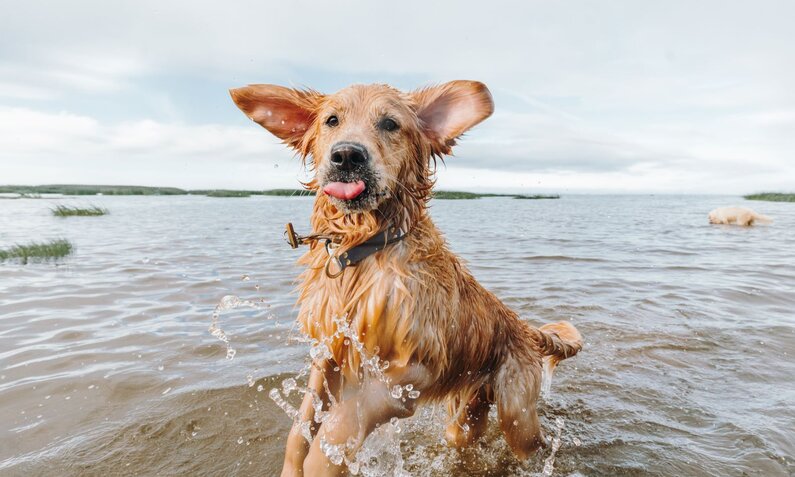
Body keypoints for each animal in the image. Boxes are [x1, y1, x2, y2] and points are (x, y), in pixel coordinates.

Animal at [230, 80, 584, 474]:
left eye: (390, 124)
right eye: (331, 120)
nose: (347, 156)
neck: (365, 249)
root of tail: (522, 325)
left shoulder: (416, 370)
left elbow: (341, 423)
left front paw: (325, 462)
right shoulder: (329, 351)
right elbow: (302, 425)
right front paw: (294, 465)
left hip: (517, 412)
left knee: (531, 442)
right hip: (470, 408)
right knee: (464, 434)